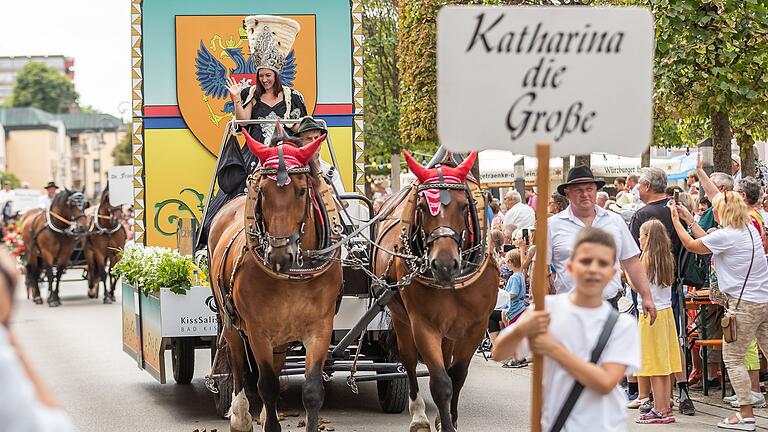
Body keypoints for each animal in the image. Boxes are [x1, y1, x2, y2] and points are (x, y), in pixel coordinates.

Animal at [208, 131, 344, 432]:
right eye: (262, 191)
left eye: (302, 190)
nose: (280, 253)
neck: (291, 277)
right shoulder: (258, 331)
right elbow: (266, 385)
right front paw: (266, 421)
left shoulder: (320, 328)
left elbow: (312, 390)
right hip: (230, 319)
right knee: (237, 362)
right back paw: (240, 415)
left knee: (278, 360)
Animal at [372, 152, 498, 432]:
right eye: (421, 206)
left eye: (464, 206)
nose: (444, 265)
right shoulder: (423, 325)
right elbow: (440, 382)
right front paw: (441, 420)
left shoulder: (475, 326)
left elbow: (457, 375)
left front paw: (449, 418)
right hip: (401, 318)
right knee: (407, 361)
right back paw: (418, 416)